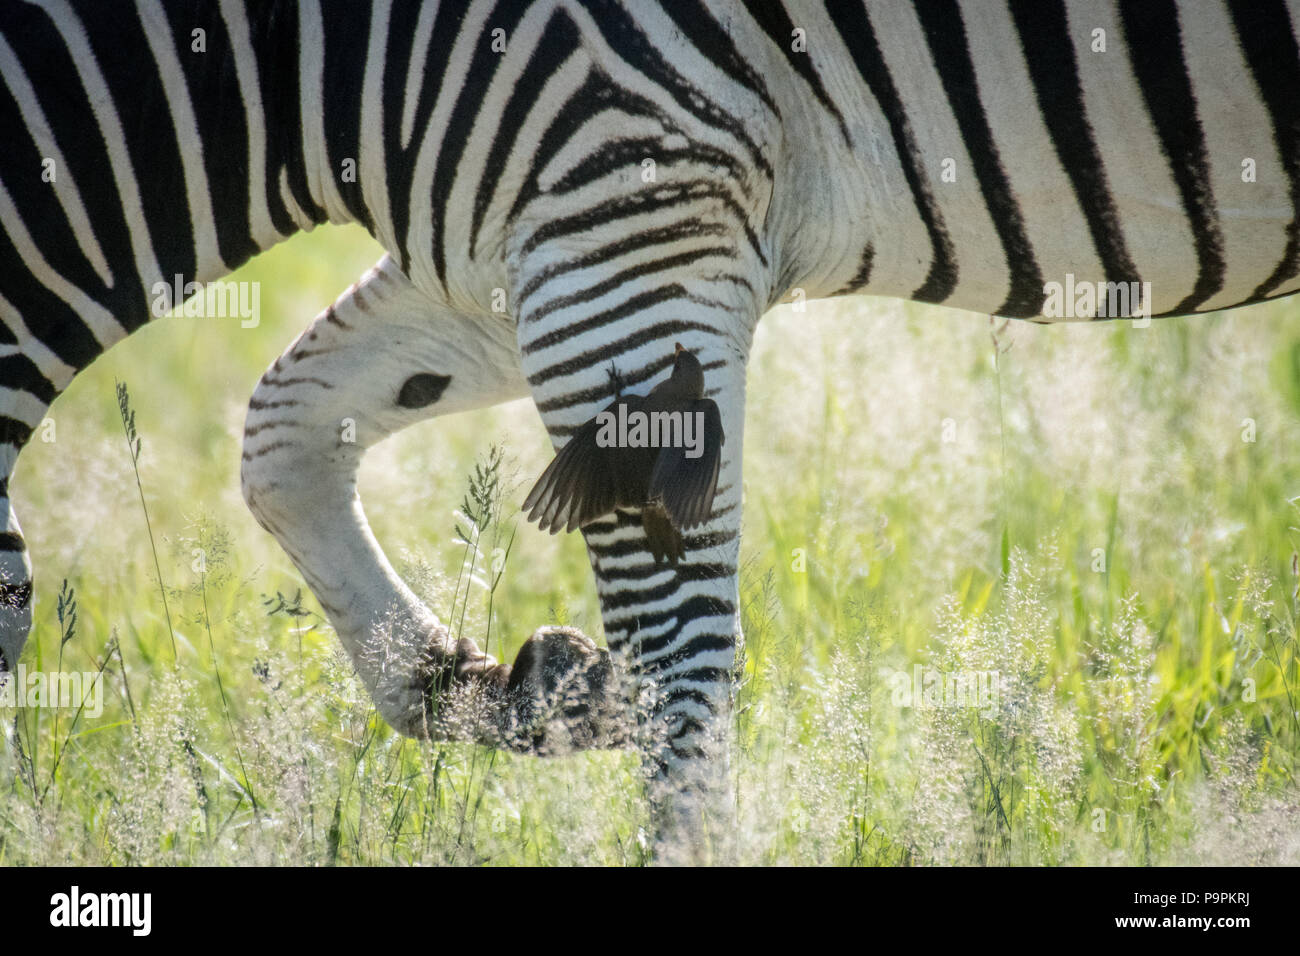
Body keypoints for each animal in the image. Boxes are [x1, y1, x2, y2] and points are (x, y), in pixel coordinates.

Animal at [0, 0, 1294, 837]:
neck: (301, 59)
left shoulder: (623, 214)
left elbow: (679, 665)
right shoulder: (511, 246)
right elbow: (284, 437)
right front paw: (506, 686)